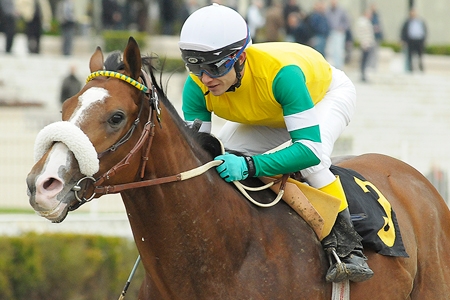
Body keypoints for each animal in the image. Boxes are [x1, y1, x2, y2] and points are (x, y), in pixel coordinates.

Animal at [25, 37, 450, 298]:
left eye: (115, 117)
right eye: (64, 107)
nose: (41, 185)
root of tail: (421, 182)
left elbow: (308, 148)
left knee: (315, 154)